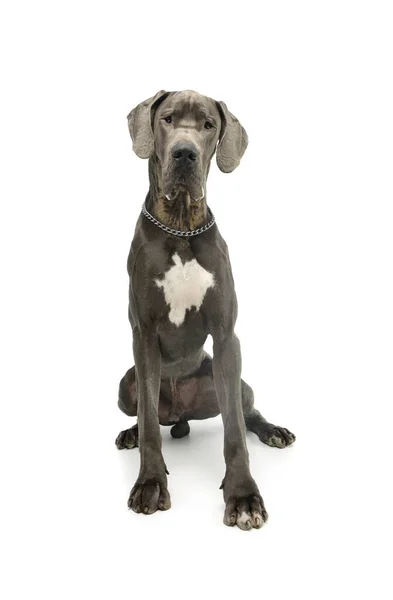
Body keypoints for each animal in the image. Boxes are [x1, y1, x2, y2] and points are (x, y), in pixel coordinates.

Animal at [114, 89, 294, 528]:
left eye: (209, 125)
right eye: (167, 118)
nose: (185, 153)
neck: (180, 226)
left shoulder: (228, 338)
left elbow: (234, 432)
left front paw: (243, 496)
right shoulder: (143, 337)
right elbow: (149, 424)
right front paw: (150, 483)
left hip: (234, 381)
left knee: (246, 412)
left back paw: (273, 429)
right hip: (124, 384)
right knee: (143, 414)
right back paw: (130, 434)